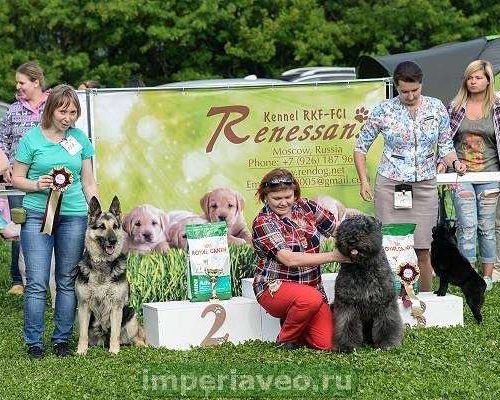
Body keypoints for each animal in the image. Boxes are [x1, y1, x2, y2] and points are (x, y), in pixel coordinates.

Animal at [75, 196, 146, 355]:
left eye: (115, 226)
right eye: (101, 227)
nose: (113, 241)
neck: (103, 264)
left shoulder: (116, 306)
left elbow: (115, 332)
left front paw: (114, 350)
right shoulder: (83, 305)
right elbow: (83, 334)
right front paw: (81, 351)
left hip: (130, 315)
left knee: (136, 337)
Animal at [333, 215, 403, 353]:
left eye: (366, 228)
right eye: (344, 228)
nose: (352, 240)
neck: (363, 268)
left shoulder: (385, 304)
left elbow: (388, 324)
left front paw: (388, 343)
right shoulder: (347, 305)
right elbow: (346, 325)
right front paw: (346, 345)